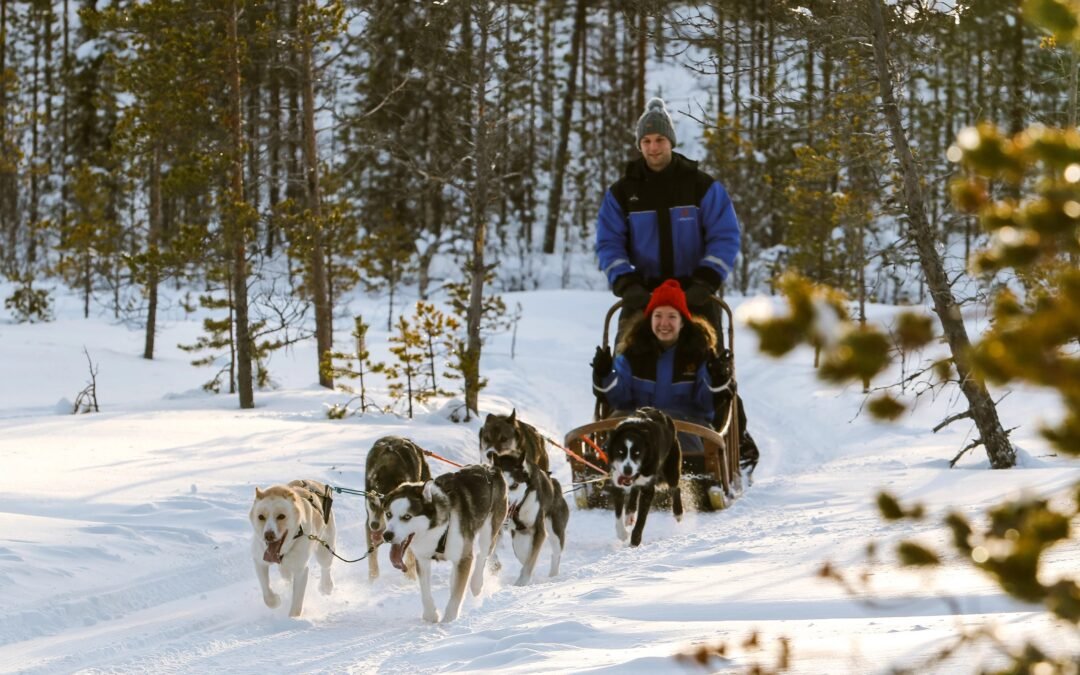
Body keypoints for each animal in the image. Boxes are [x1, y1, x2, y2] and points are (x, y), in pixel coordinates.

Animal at [250, 479, 334, 617]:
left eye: (281, 516)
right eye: (261, 517)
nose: (268, 535)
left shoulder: (301, 571)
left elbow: (297, 602)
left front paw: (293, 619)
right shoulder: (259, 561)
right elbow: (267, 594)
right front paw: (275, 601)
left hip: (325, 550)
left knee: (326, 567)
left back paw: (326, 586)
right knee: (286, 576)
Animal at [362, 436, 429, 578]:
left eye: (386, 509)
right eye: (372, 504)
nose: (375, 525)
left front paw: (410, 576)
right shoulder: (369, 523)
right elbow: (372, 559)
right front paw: (373, 580)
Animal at [382, 462, 507, 622]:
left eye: (407, 517)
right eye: (388, 514)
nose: (387, 535)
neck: (437, 531)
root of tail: (489, 467)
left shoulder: (464, 558)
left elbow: (457, 595)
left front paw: (449, 620)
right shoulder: (422, 559)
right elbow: (425, 591)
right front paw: (431, 615)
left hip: (489, 529)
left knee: (482, 555)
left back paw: (476, 584)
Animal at [492, 453, 574, 583]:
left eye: (514, 485)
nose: (504, 503)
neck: (518, 509)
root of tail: (555, 484)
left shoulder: (539, 530)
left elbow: (530, 560)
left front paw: (521, 582)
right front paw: (495, 564)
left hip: (555, 531)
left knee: (555, 553)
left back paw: (553, 575)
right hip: (519, 536)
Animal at [604, 408, 678, 544]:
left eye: (637, 453)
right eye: (620, 452)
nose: (628, 470)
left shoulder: (648, 489)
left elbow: (642, 518)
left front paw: (635, 540)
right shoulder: (617, 483)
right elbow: (618, 513)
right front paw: (622, 533)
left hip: (672, 467)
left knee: (675, 488)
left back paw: (678, 512)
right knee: (634, 491)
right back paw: (629, 514)